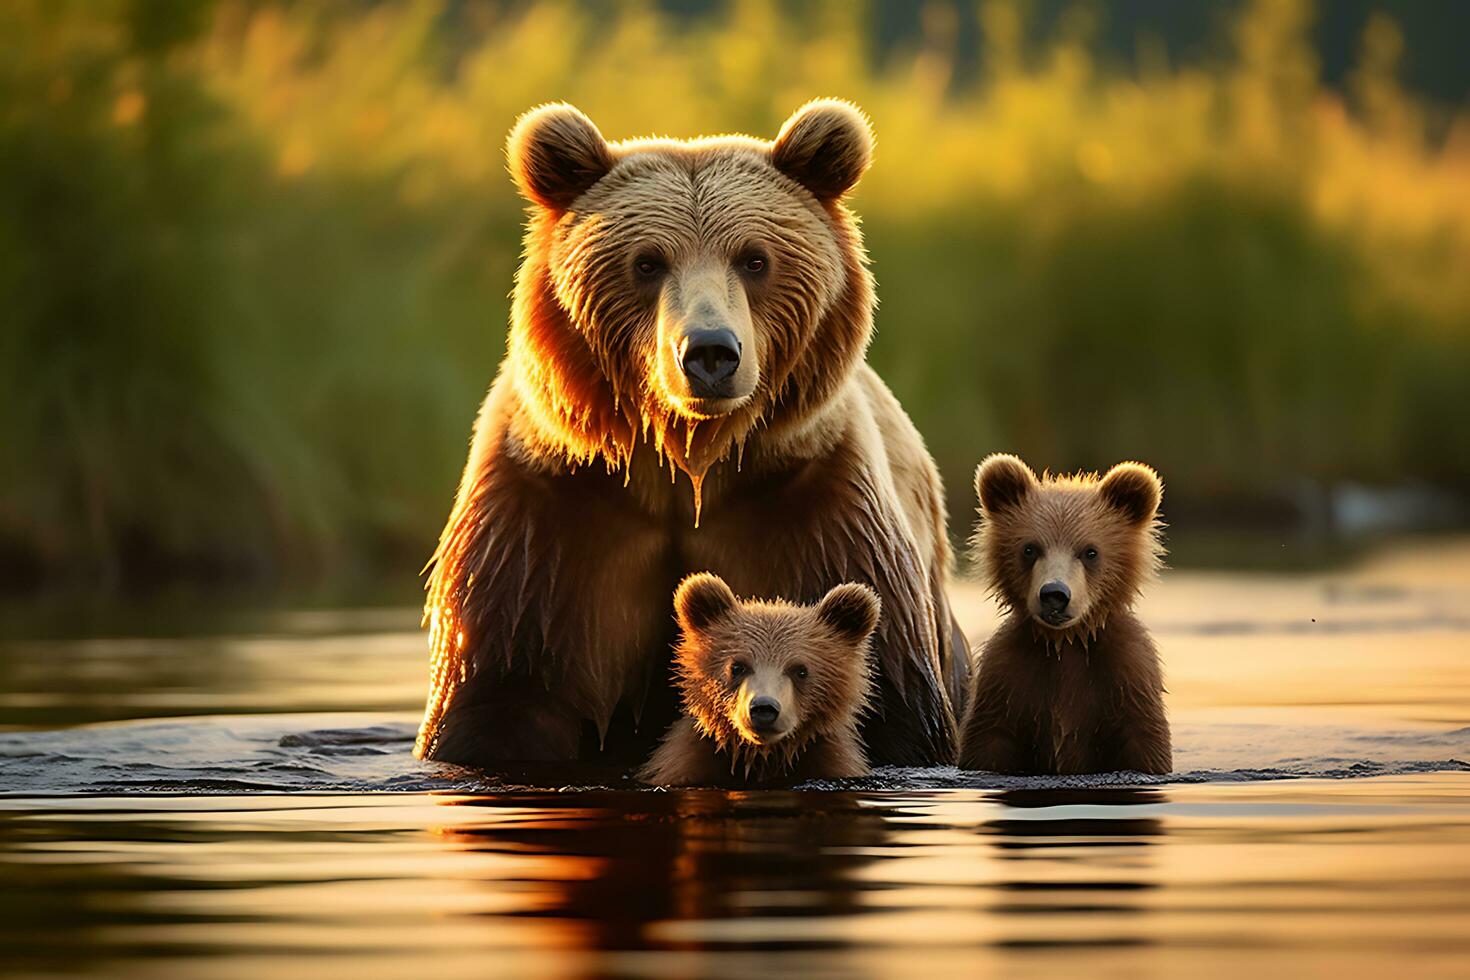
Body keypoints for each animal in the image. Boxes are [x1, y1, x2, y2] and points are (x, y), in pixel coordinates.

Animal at [414, 101, 964, 775]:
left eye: (754, 258)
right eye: (647, 262)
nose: (709, 352)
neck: (689, 464)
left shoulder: (814, 507)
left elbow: (891, 707)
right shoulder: (551, 517)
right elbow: (500, 699)